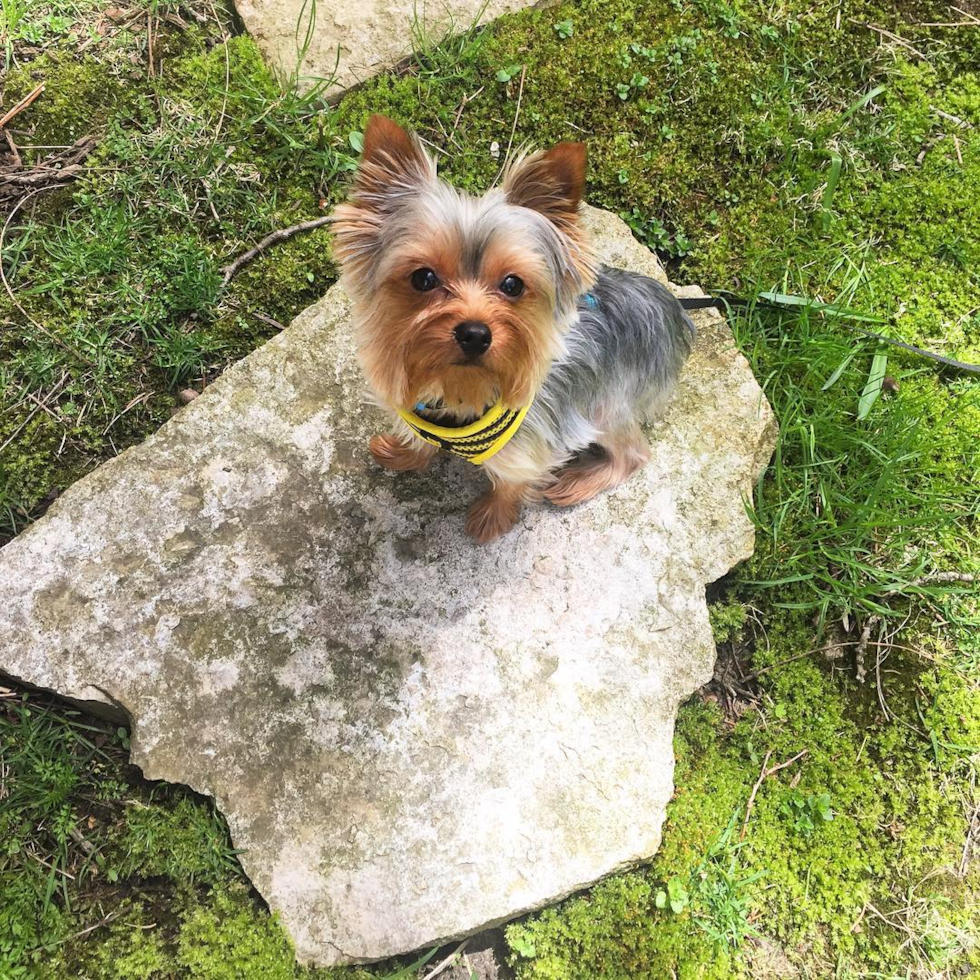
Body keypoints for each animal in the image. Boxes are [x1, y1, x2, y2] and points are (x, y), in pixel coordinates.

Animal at [332, 117, 696, 544]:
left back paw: (577, 483)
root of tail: (673, 308)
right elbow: (421, 441)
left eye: (512, 284)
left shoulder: (532, 444)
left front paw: (493, 517)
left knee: (635, 453)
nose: (475, 333)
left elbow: (511, 481)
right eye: (423, 278)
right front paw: (404, 453)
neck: (462, 390)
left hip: (610, 404)